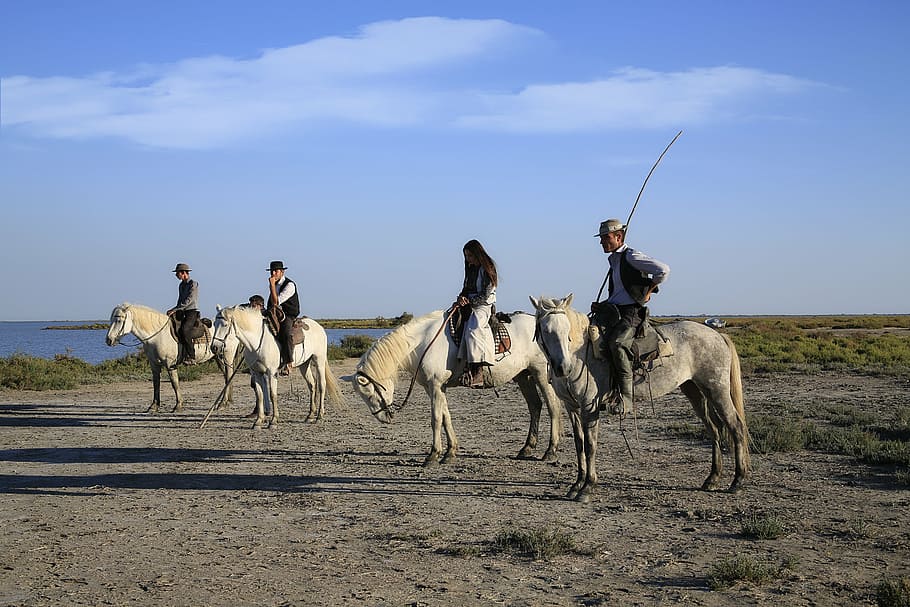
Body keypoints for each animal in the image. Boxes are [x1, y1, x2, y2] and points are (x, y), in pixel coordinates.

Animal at [212, 304, 344, 428]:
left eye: (225, 325)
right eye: (214, 324)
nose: (214, 348)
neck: (256, 341)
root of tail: (319, 327)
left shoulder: (271, 372)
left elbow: (272, 394)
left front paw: (273, 421)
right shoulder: (256, 372)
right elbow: (260, 395)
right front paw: (258, 421)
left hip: (319, 360)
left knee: (322, 385)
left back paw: (319, 416)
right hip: (304, 364)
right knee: (311, 385)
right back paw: (310, 415)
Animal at [342, 308, 564, 466]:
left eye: (369, 392)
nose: (384, 418)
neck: (421, 343)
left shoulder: (435, 385)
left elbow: (435, 419)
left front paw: (433, 455)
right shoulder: (437, 387)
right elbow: (446, 417)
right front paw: (450, 452)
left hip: (540, 373)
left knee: (552, 406)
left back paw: (550, 451)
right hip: (523, 376)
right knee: (535, 406)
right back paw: (527, 448)